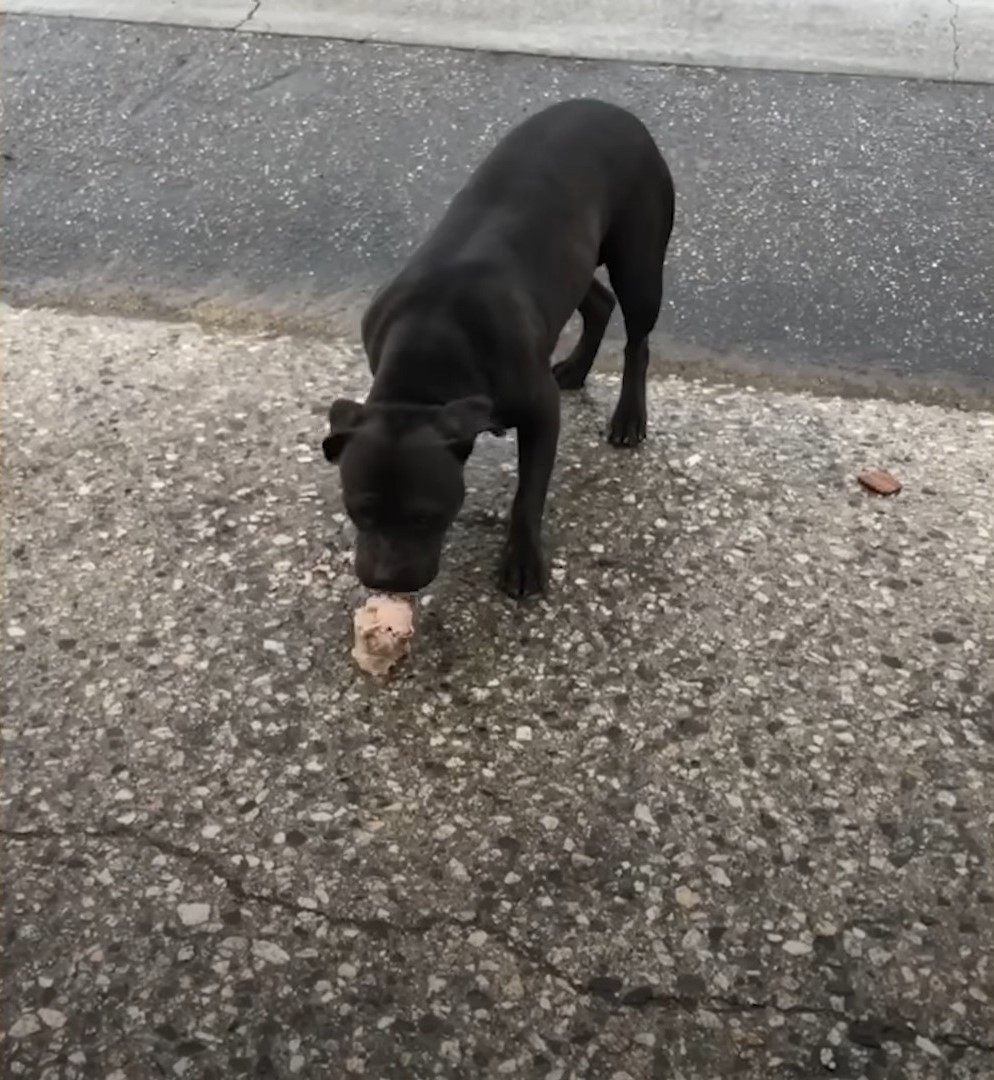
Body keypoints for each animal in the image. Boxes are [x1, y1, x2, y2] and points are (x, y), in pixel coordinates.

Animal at [324, 99, 674, 600]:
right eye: (359, 510)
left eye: (425, 516)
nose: (386, 580)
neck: (426, 358)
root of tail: (617, 112)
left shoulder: (542, 412)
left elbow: (528, 493)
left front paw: (522, 560)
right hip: (570, 265)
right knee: (599, 303)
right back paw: (576, 368)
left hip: (640, 263)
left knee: (637, 340)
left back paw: (629, 416)